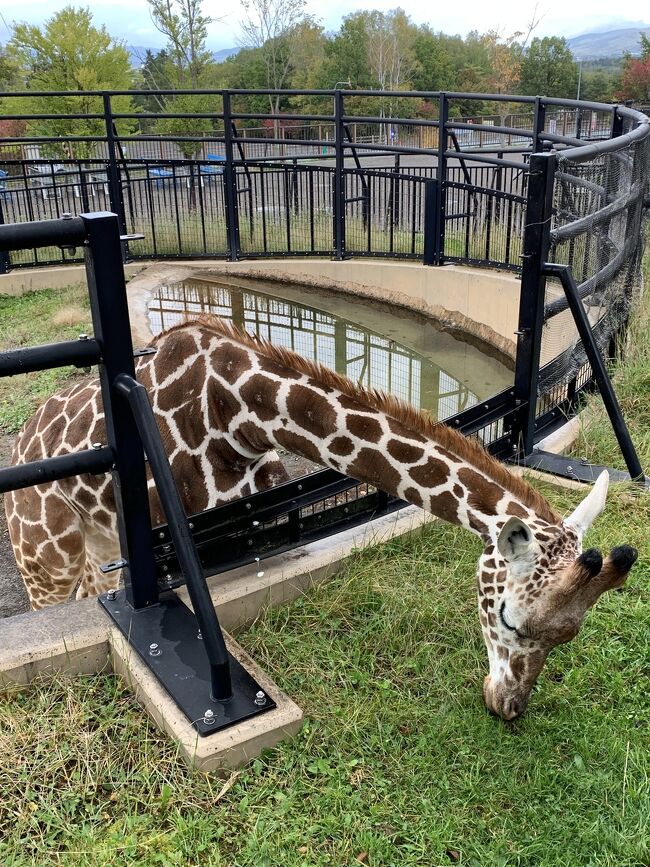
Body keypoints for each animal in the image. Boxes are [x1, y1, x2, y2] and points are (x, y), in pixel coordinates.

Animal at [2, 318, 636, 720]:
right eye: (507, 618)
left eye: (569, 635)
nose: (507, 707)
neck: (238, 418)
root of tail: (24, 442)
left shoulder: (255, 527)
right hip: (44, 562)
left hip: (98, 545)